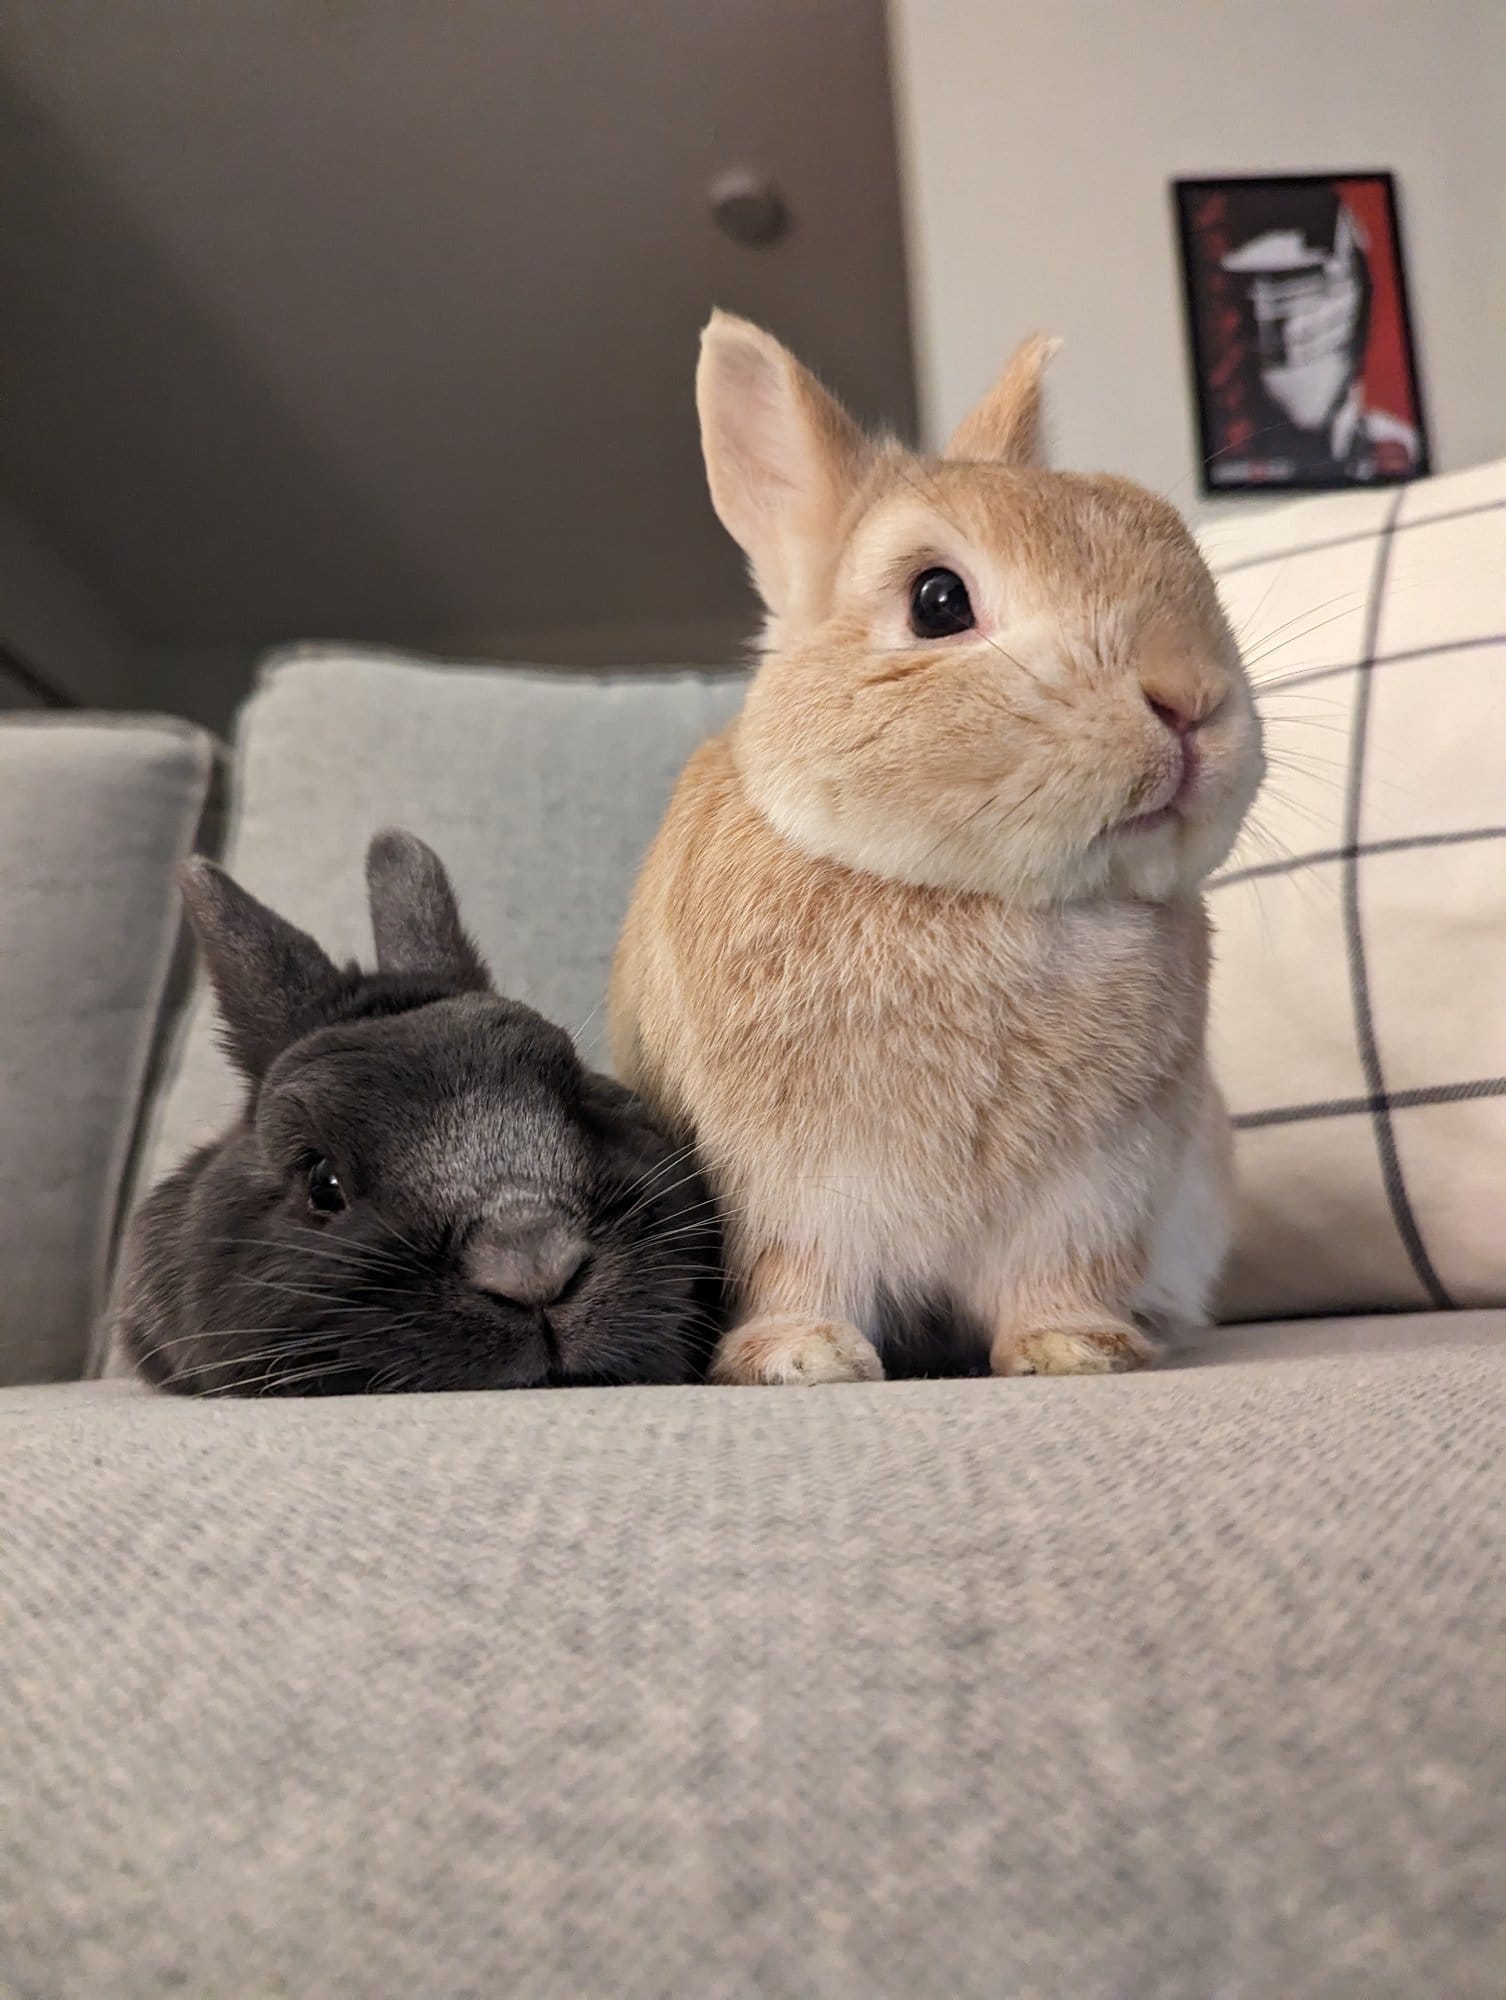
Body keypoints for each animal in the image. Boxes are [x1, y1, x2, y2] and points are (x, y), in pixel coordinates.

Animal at [608, 320, 1256, 1384]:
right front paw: (803, 1359)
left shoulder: (1093, 1189)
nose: (1192, 696)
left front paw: (1078, 1348)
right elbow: (796, 1272)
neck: (973, 895)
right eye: (938, 601)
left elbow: (1057, 1275)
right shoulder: (790, 1187)